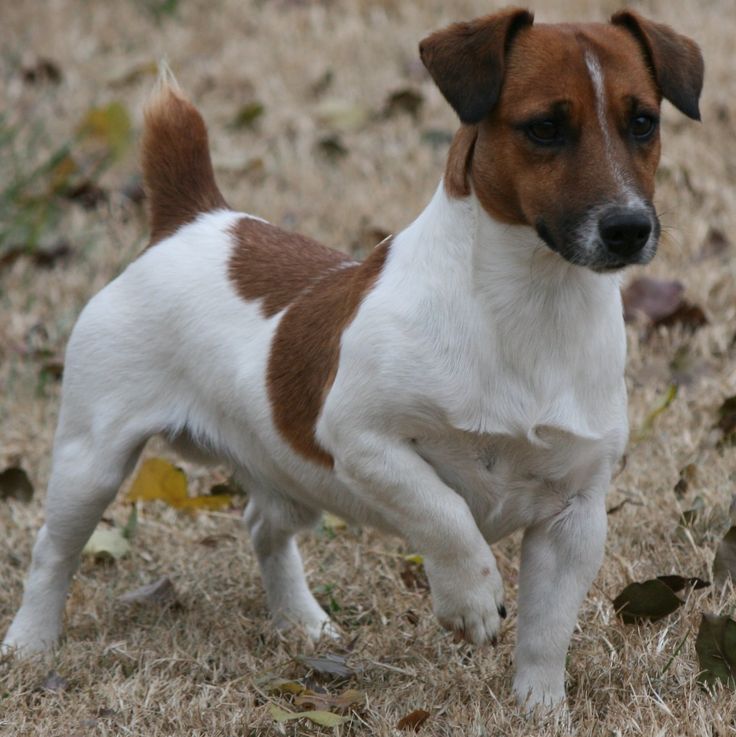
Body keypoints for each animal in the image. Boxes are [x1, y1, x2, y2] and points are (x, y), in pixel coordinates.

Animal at [2, 5, 700, 708]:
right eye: (546, 127)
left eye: (644, 122)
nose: (629, 228)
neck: (530, 308)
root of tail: (193, 220)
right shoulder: (363, 441)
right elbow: (446, 516)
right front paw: (472, 600)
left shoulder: (575, 515)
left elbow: (547, 630)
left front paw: (539, 707)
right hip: (92, 460)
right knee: (53, 551)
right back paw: (30, 643)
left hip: (285, 474)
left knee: (264, 527)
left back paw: (303, 623)